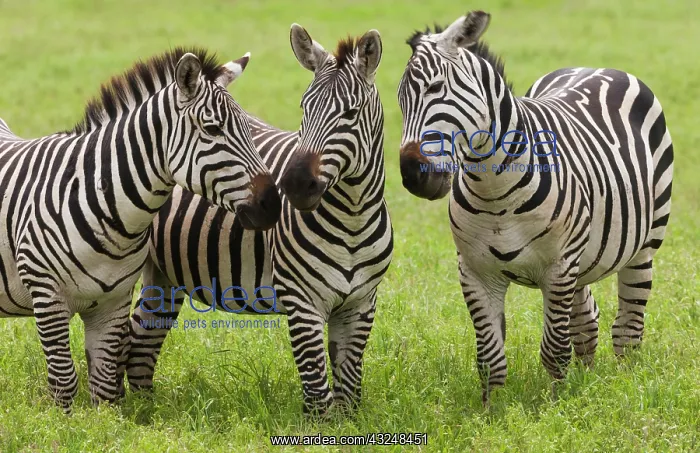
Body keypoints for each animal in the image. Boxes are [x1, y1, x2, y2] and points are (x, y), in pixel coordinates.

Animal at [0, 47, 281, 411]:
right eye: (212, 129)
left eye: (250, 128)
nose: (273, 205)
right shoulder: (46, 294)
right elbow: (64, 381)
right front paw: (63, 423)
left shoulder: (114, 302)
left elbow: (105, 388)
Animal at [125, 25, 393, 416]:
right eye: (304, 108)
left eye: (351, 113)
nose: (293, 185)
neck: (353, 218)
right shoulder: (302, 300)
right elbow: (318, 390)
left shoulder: (361, 303)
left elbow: (349, 391)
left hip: (165, 274)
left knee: (142, 338)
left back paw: (145, 412)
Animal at [397, 11, 674, 405]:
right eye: (400, 98)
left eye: (436, 88)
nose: (413, 175)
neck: (495, 194)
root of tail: (597, 66)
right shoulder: (475, 272)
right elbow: (490, 357)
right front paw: (493, 411)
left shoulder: (558, 266)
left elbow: (554, 349)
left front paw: (555, 405)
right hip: (583, 260)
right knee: (587, 321)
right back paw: (588, 381)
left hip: (643, 246)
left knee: (628, 328)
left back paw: (626, 386)